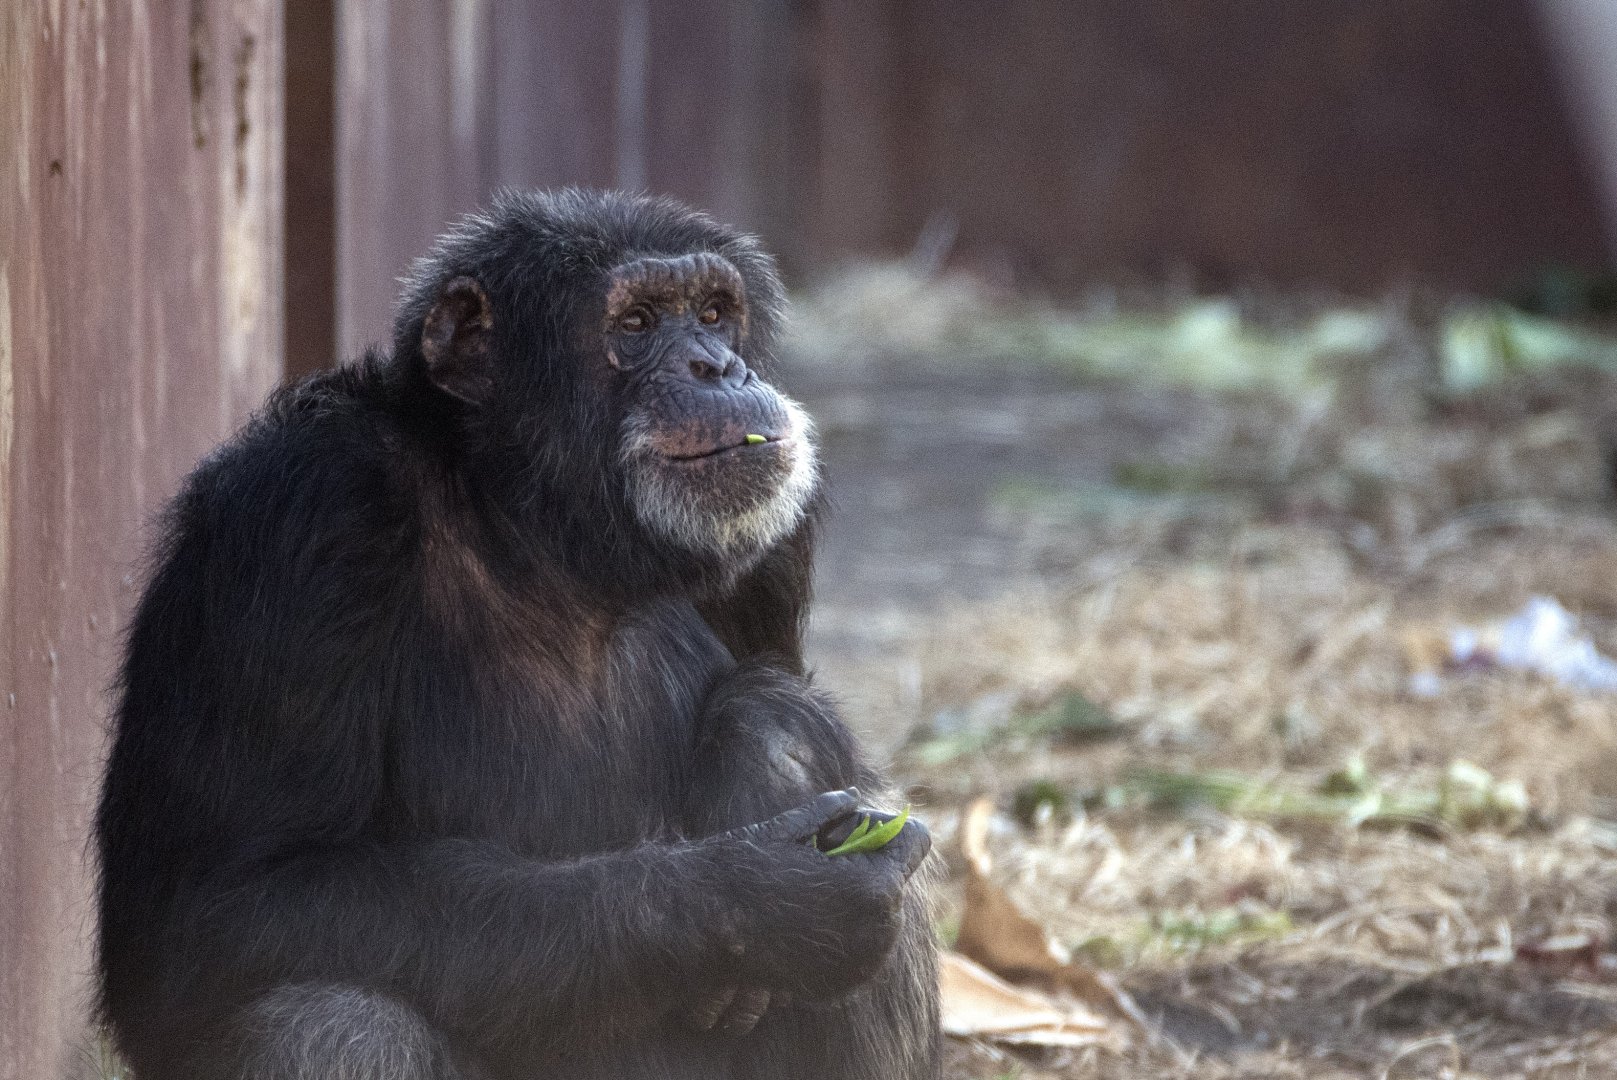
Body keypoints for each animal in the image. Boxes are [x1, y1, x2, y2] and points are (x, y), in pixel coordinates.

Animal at [96, 189, 940, 1080]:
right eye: (637, 322)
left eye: (713, 313)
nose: (718, 367)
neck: (535, 527)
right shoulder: (300, 514)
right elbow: (226, 903)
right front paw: (763, 899)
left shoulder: (777, 537)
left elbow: (783, 686)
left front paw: (763, 760)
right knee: (334, 1025)